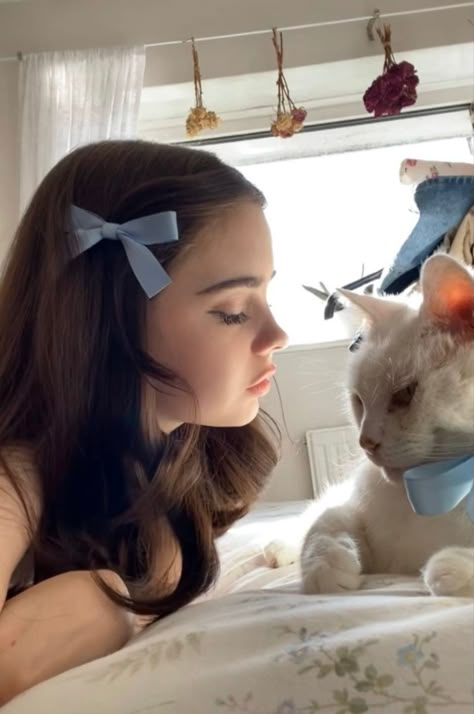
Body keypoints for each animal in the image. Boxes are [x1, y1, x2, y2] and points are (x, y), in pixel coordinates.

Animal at [266, 253, 474, 596]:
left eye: (404, 394)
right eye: (359, 401)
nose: (366, 442)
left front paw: (449, 568)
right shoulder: (353, 510)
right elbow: (326, 525)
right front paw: (327, 570)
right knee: (310, 515)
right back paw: (276, 548)